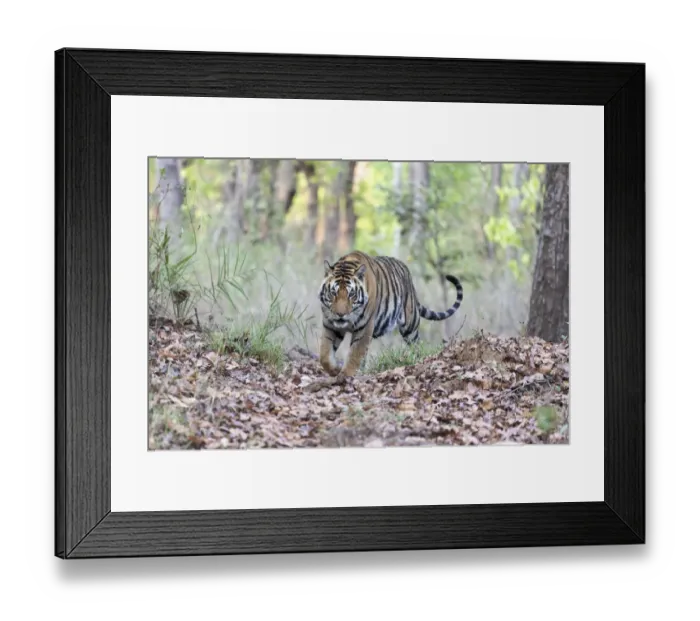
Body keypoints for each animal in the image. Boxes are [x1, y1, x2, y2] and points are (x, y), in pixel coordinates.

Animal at [318, 250, 464, 378]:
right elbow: (324, 355)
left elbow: (355, 353)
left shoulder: (364, 328)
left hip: (410, 326)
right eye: (333, 293)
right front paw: (335, 370)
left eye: (351, 294)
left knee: (417, 344)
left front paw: (346, 375)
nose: (340, 314)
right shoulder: (329, 325)